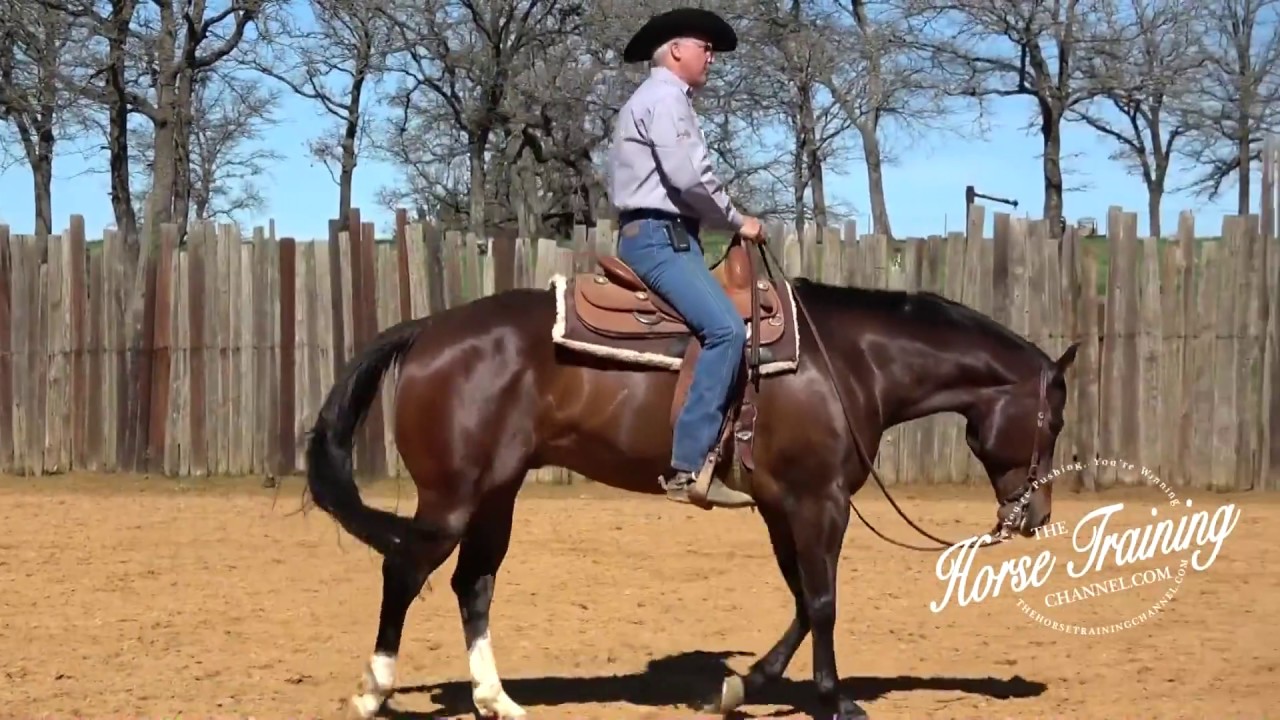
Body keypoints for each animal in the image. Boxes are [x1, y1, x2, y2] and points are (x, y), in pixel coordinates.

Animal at [302, 238, 1079, 720]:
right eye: (1054, 421)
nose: (1035, 515)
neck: (849, 360)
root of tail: (430, 329)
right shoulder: (818, 502)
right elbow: (823, 601)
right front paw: (834, 698)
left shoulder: (781, 505)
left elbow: (802, 599)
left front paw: (742, 685)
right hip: (452, 497)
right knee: (405, 570)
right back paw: (372, 692)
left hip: (497, 494)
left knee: (473, 584)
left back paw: (497, 700)